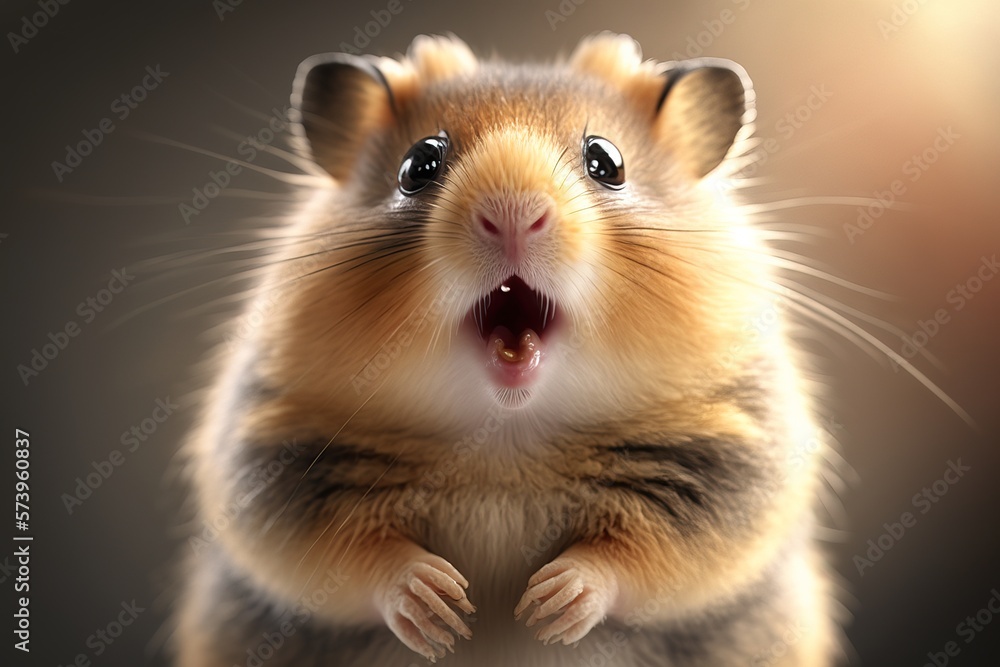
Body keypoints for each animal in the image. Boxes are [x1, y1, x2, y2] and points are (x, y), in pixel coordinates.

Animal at [174, 33, 839, 667]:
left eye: (606, 161)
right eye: (418, 164)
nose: (512, 213)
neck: (504, 436)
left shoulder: (730, 457)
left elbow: (641, 554)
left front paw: (547, 607)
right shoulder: (276, 457)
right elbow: (353, 554)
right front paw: (440, 607)